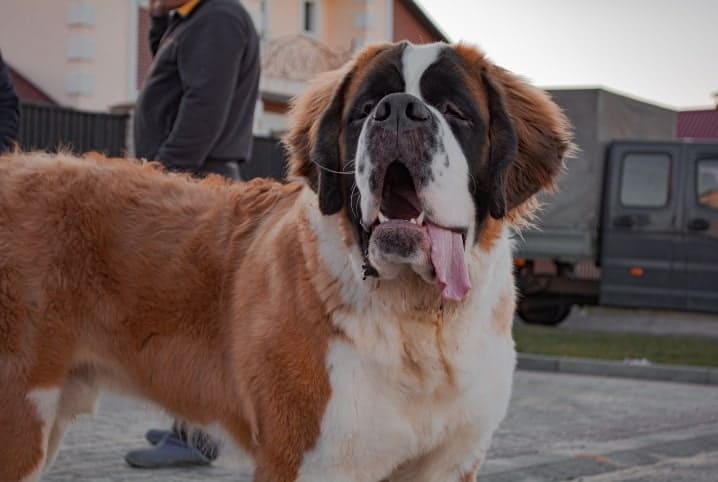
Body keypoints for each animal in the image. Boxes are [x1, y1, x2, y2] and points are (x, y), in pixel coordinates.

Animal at [1, 42, 572, 482]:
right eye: (365, 109)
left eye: (454, 111)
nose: (398, 109)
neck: (417, 319)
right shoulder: (311, 460)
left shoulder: (449, 465)